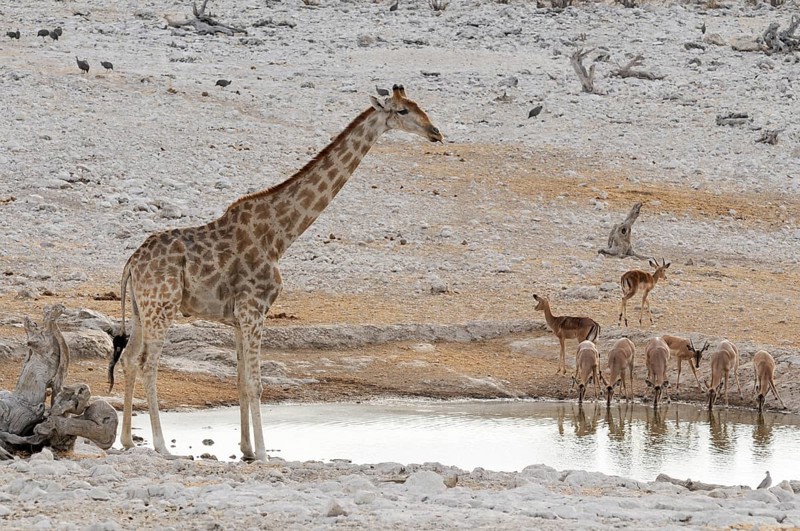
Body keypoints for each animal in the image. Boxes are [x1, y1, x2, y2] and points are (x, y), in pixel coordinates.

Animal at [108, 85, 443, 462]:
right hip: (162, 308)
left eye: (418, 105)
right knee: (148, 364)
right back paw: (163, 447)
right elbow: (256, 383)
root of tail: (131, 263)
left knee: (129, 359)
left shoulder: (239, 317)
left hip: (142, 310)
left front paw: (247, 449)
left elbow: (241, 380)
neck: (280, 236)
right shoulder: (254, 309)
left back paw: (126, 440)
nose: (435, 133)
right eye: (402, 111)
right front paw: (265, 454)